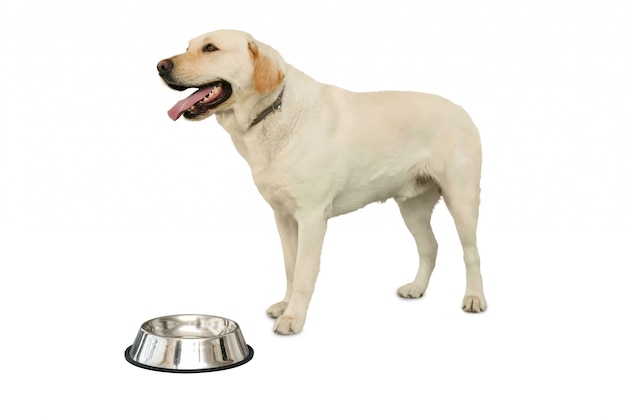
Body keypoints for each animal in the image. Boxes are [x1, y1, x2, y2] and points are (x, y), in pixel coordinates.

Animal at [157, 29, 488, 334]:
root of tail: (462, 109)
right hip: (412, 207)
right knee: (430, 246)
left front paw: (293, 318)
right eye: (188, 46)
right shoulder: (283, 216)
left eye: (210, 48)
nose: (160, 66)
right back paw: (417, 288)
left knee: (471, 252)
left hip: (462, 199)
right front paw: (285, 305)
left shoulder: (312, 217)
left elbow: (304, 272)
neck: (271, 110)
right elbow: (290, 266)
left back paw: (474, 298)